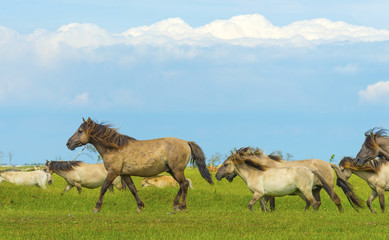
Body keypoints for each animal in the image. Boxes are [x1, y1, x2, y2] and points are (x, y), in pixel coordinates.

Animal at [66, 117, 212, 213]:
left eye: (80, 130)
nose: (68, 143)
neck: (115, 148)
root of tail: (186, 142)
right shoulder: (125, 174)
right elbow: (133, 189)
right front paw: (140, 206)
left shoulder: (113, 172)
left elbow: (104, 188)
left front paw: (96, 208)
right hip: (172, 170)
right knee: (182, 184)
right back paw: (175, 205)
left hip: (177, 170)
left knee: (184, 184)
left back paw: (182, 206)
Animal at [217, 147, 362, 211]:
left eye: (226, 164)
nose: (218, 175)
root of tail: (328, 163)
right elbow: (267, 205)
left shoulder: (267, 193)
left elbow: (268, 205)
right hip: (316, 189)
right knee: (316, 202)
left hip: (327, 187)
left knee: (335, 200)